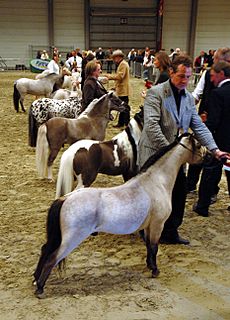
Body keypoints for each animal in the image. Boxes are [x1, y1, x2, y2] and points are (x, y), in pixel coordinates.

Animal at [33, 133, 211, 298]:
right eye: (199, 145)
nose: (211, 156)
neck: (155, 183)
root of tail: (65, 198)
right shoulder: (157, 224)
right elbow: (154, 247)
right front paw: (155, 270)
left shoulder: (148, 227)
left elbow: (149, 247)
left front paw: (149, 266)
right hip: (71, 239)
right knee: (52, 258)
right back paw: (40, 288)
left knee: (45, 249)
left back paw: (35, 279)